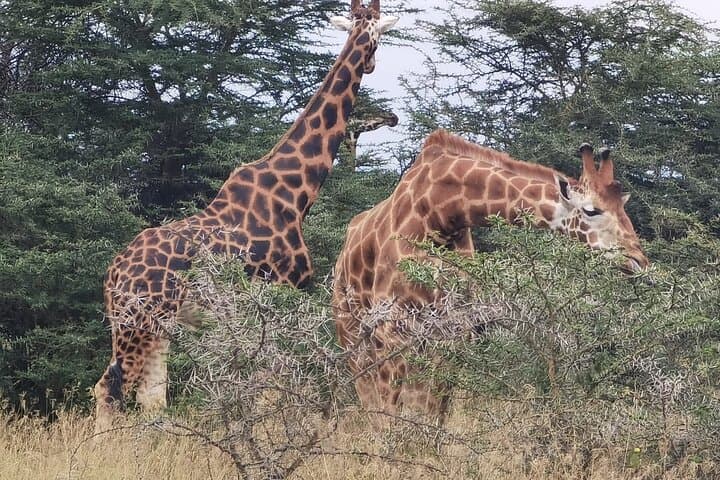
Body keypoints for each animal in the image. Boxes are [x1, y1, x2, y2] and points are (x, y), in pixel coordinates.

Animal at [93, 0, 399, 429]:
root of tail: (113, 274)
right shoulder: (282, 292)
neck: (296, 192)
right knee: (108, 388)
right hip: (136, 320)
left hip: (156, 324)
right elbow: (269, 389)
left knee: (151, 398)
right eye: (376, 39)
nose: (371, 65)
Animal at [332, 129, 650, 422]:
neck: (441, 212)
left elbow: (436, 410)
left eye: (623, 207)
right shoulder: (391, 328)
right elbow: (389, 411)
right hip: (352, 336)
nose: (639, 262)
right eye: (591, 210)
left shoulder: (454, 329)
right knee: (370, 400)